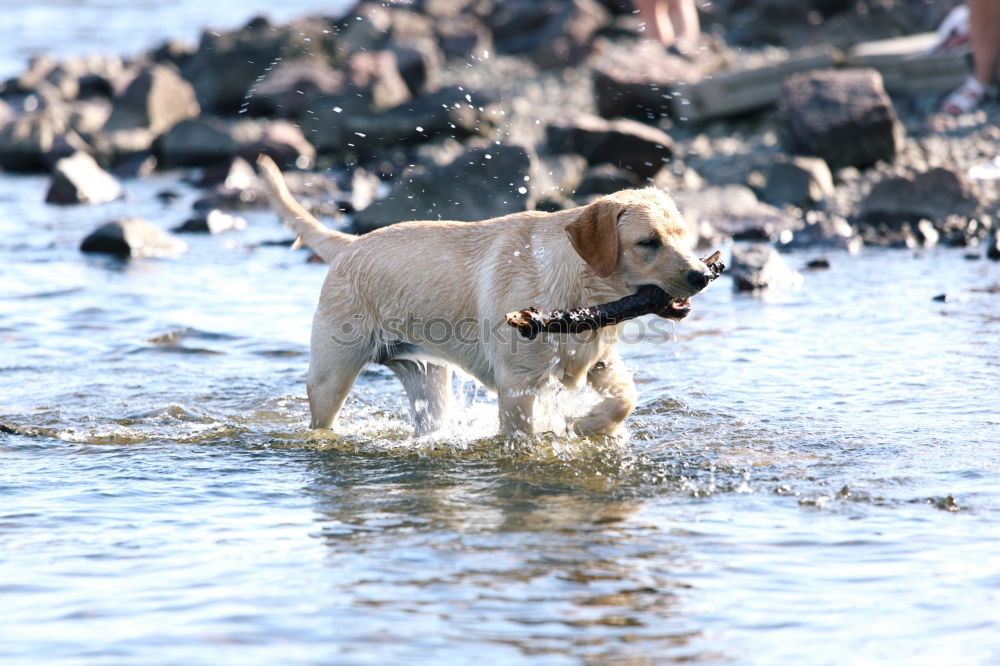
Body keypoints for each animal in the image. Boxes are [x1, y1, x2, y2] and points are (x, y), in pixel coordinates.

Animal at [258, 154, 712, 436]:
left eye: (683, 236)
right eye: (648, 243)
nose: (703, 274)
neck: (581, 291)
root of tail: (348, 244)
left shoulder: (599, 359)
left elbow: (624, 401)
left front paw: (586, 425)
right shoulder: (517, 386)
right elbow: (522, 436)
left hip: (427, 378)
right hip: (330, 377)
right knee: (322, 418)